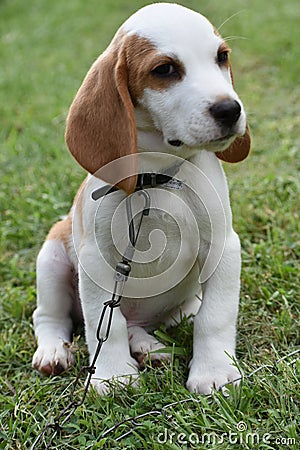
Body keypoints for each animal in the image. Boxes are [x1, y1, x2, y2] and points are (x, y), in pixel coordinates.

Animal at [31, 4, 251, 398]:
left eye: (221, 57)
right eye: (164, 69)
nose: (230, 110)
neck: (158, 175)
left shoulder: (223, 248)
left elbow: (215, 316)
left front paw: (215, 372)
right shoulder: (97, 260)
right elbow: (106, 323)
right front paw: (113, 376)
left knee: (142, 322)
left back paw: (151, 347)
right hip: (52, 257)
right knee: (50, 317)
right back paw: (54, 351)